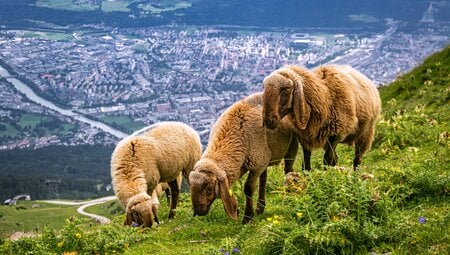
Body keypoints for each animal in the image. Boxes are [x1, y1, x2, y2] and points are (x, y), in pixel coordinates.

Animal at [188, 92, 298, 224]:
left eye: (209, 188)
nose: (198, 211)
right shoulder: (257, 162)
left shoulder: (256, 165)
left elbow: (248, 188)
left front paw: (248, 217)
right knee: (264, 179)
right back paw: (260, 207)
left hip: (290, 144)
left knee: (288, 168)